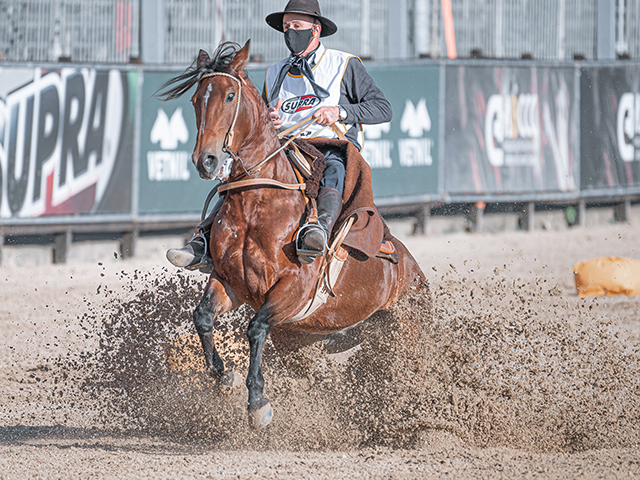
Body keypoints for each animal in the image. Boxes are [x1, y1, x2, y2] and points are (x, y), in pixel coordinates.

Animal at [159, 41, 428, 430]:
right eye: (196, 98)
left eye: (229, 96)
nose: (205, 161)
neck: (258, 206)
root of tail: (411, 270)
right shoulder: (230, 281)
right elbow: (203, 316)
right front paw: (223, 375)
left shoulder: (293, 289)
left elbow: (256, 328)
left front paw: (257, 403)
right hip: (299, 341)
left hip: (405, 334)